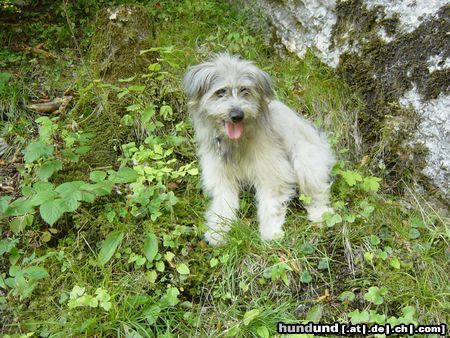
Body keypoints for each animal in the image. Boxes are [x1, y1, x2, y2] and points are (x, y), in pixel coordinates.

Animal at [183, 54, 334, 246]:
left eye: (245, 90)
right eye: (221, 92)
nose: (237, 115)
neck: (236, 143)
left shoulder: (273, 173)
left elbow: (270, 204)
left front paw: (270, 232)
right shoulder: (221, 177)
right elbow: (223, 205)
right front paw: (218, 230)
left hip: (306, 158)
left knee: (318, 191)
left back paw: (320, 215)